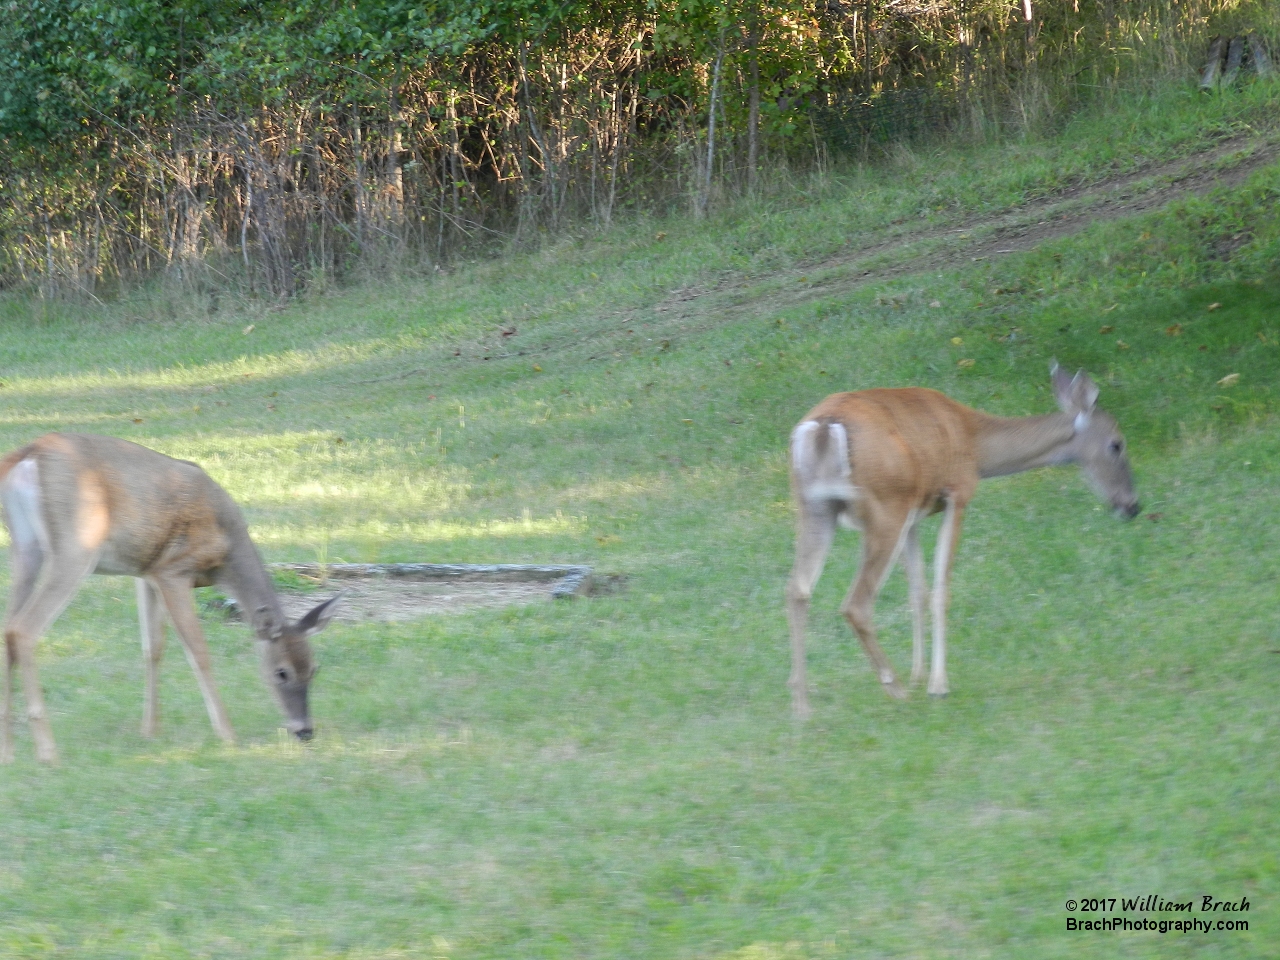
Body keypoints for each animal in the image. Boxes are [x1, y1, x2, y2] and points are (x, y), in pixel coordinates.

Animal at [0, 435, 345, 768]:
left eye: (314, 668)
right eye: (281, 672)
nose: (305, 731)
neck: (226, 552)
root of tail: (29, 453)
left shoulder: (145, 573)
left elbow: (153, 648)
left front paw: (150, 730)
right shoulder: (174, 570)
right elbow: (198, 652)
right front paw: (227, 735)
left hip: (25, 548)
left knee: (8, 629)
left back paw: (10, 752)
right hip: (77, 544)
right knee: (24, 629)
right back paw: (47, 753)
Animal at [788, 363, 1141, 716]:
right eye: (1117, 444)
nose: (1133, 506)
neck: (977, 444)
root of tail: (823, 428)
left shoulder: (914, 512)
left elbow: (917, 593)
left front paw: (918, 677)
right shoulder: (956, 493)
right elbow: (941, 592)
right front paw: (936, 686)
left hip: (817, 507)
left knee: (798, 589)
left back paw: (803, 708)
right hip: (883, 506)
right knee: (856, 603)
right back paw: (895, 691)